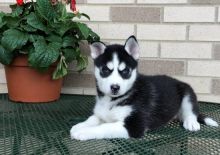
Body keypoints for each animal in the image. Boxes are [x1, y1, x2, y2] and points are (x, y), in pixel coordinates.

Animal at [70, 36, 218, 140]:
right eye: (106, 70)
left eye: (125, 71)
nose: (115, 87)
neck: (114, 100)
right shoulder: (102, 114)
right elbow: (94, 119)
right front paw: (79, 126)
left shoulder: (134, 125)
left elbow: (104, 127)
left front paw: (83, 132)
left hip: (187, 92)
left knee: (190, 111)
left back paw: (191, 122)